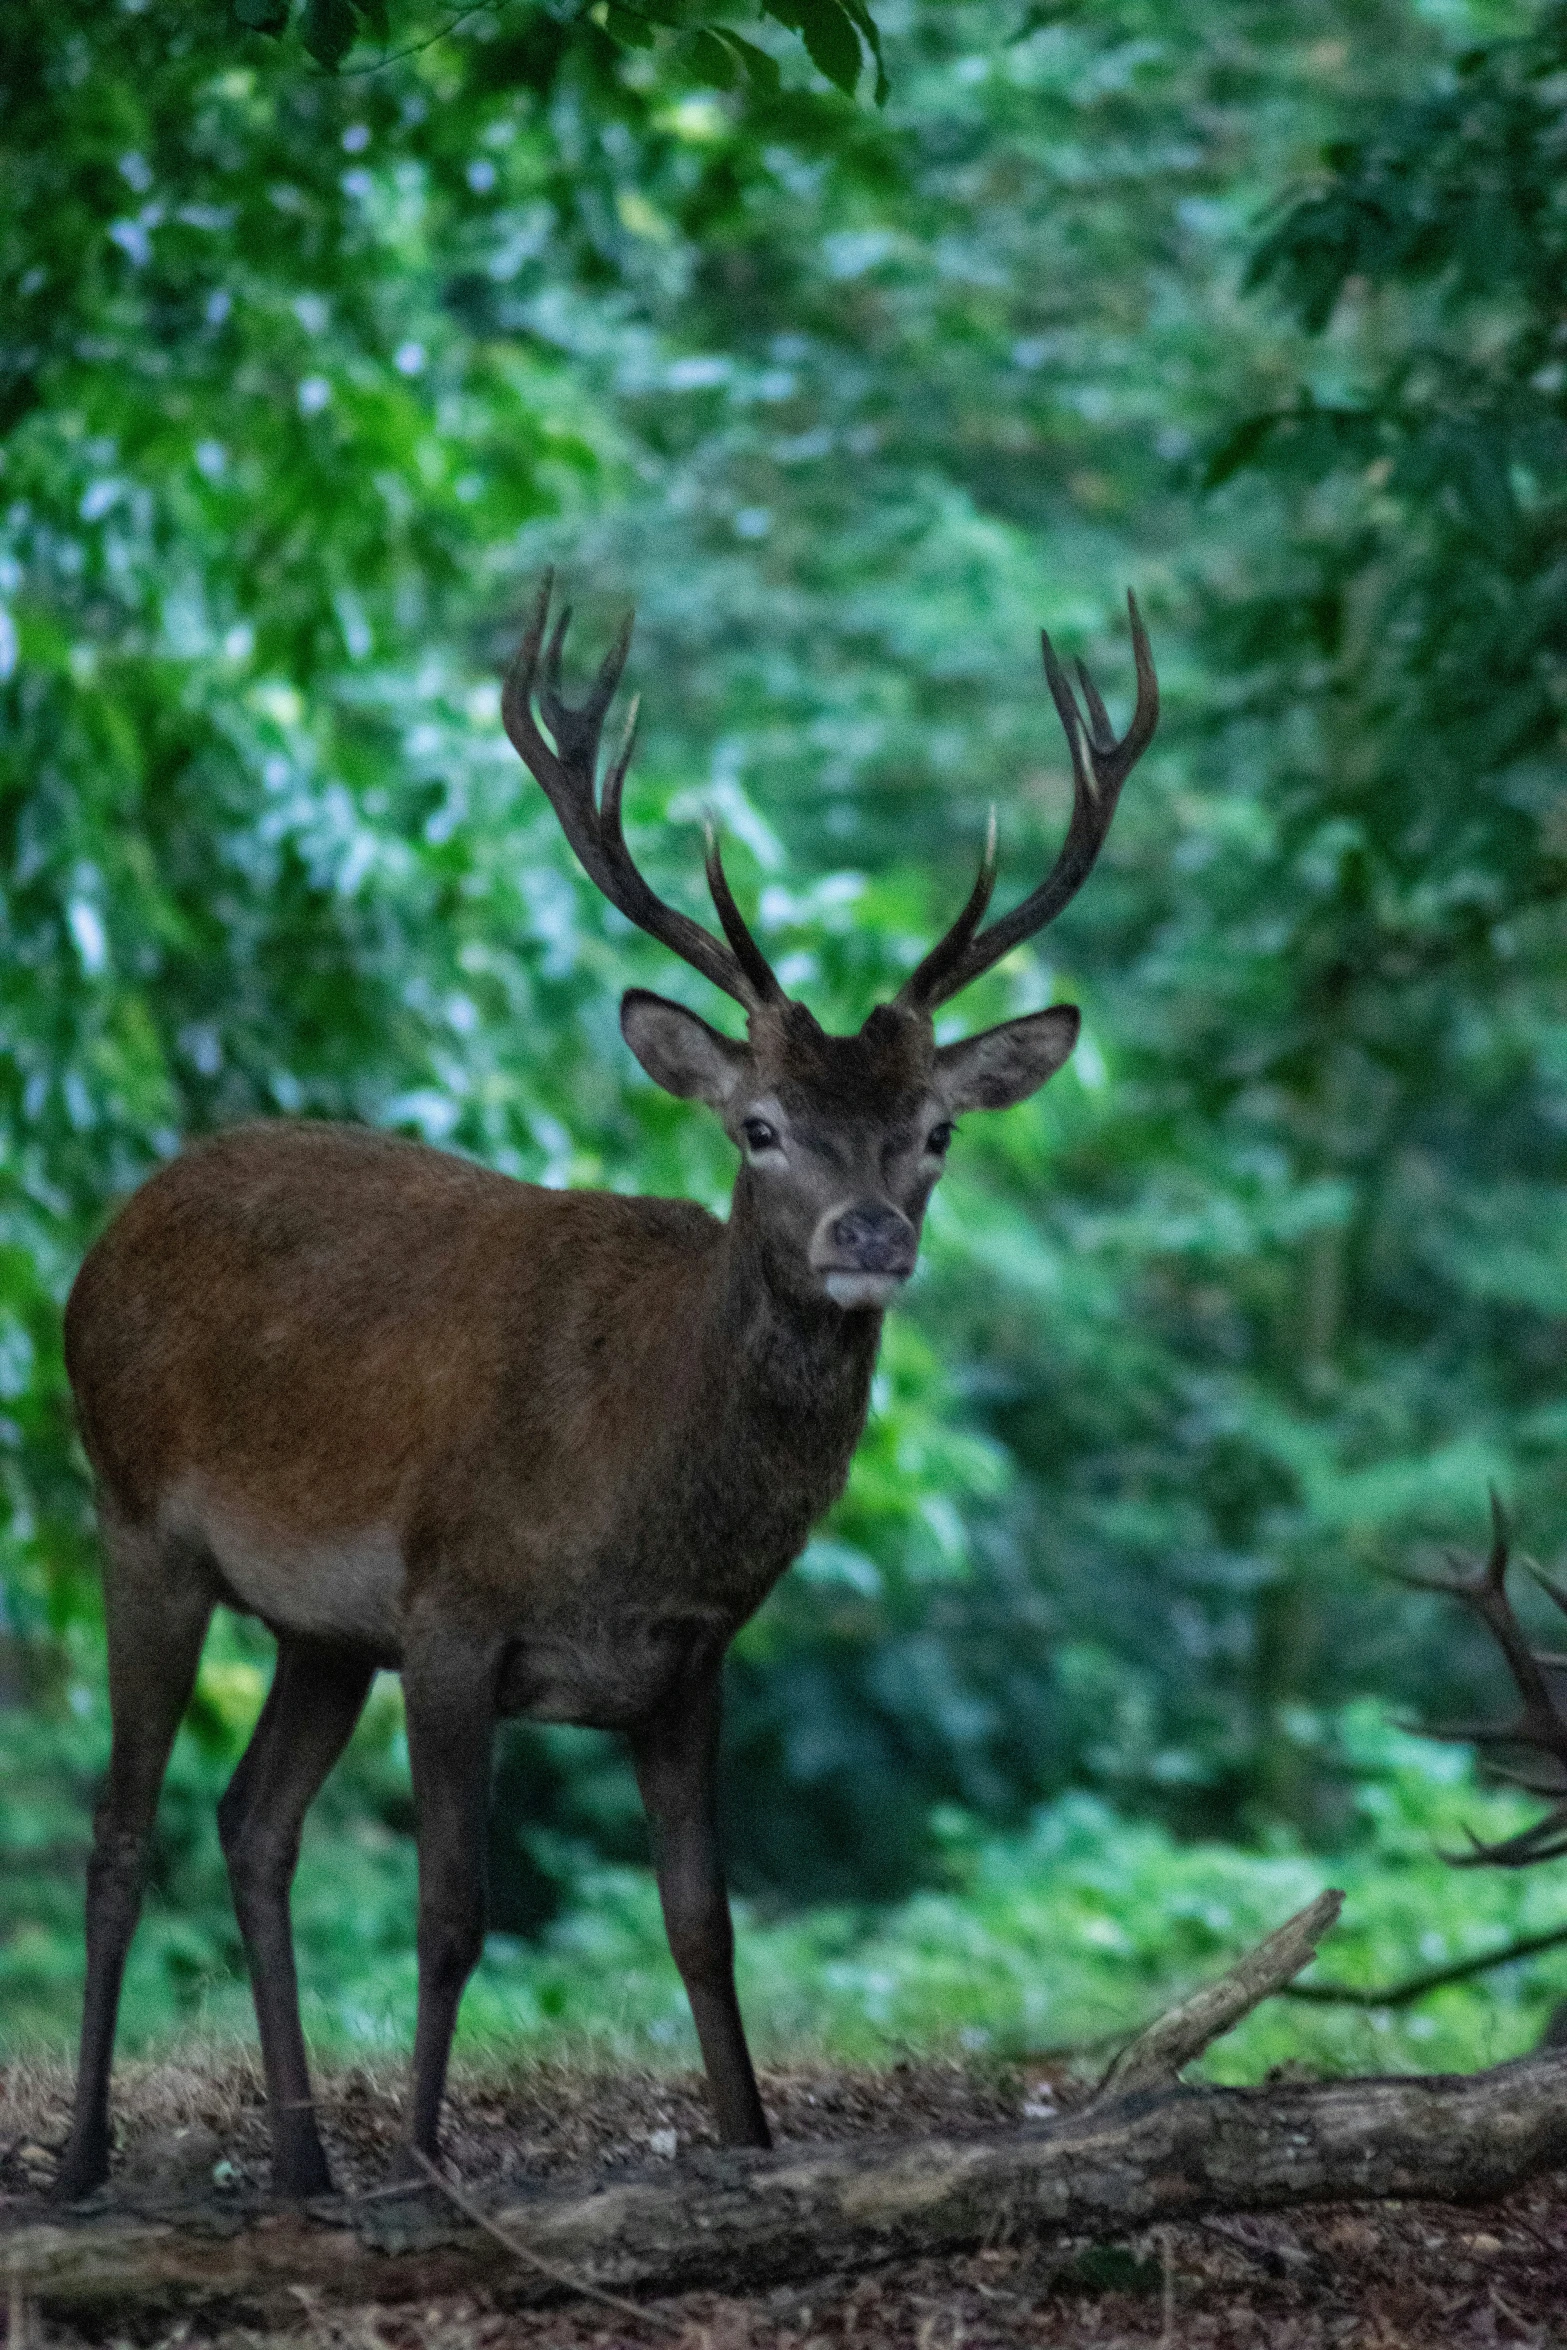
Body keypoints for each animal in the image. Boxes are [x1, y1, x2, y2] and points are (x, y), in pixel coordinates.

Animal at [55, 568, 1160, 2199]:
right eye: (760, 1126)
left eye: (934, 1132)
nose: (868, 1234)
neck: (629, 1496)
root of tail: (103, 1239)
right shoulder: (453, 1610)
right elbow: (454, 1911)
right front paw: (429, 2166)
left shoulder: (686, 1661)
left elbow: (703, 1927)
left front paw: (751, 2144)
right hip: (139, 1517)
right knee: (122, 1826)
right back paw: (86, 2158)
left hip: (318, 1623)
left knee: (252, 1822)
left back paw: (305, 2164)